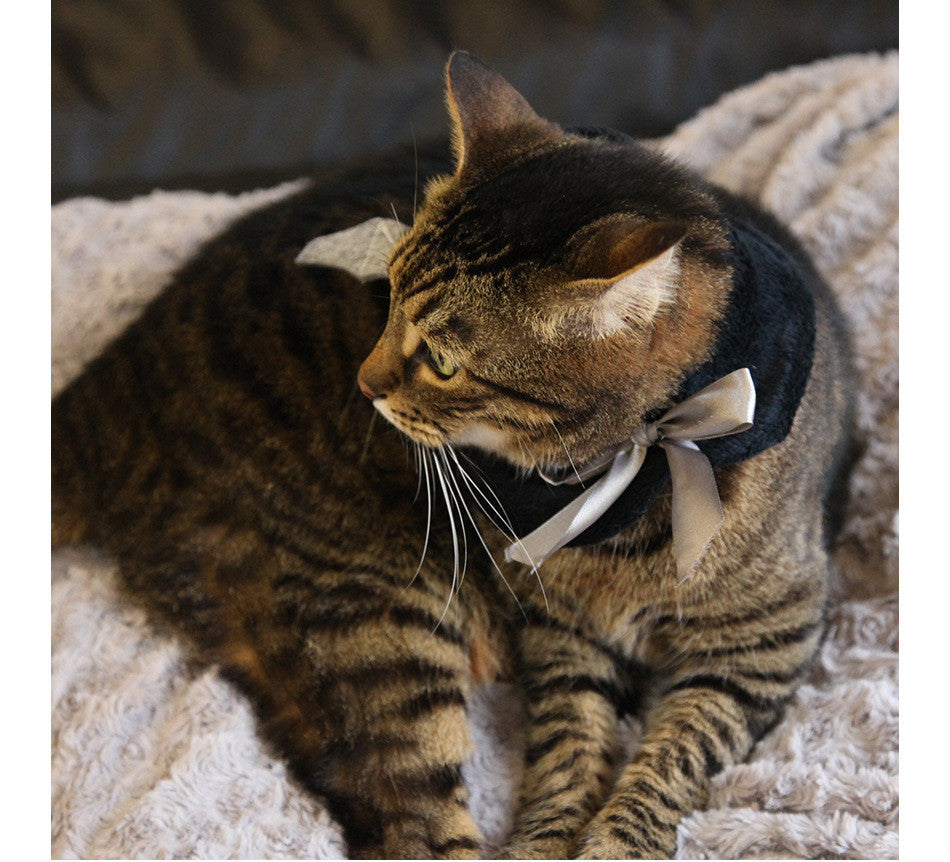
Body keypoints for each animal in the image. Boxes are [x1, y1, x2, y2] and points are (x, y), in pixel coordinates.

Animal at [52, 55, 856, 862]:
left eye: (441, 362)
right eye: (385, 294)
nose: (364, 384)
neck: (631, 472)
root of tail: (109, 384)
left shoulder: (762, 643)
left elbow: (673, 758)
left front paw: (614, 842)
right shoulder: (560, 635)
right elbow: (569, 749)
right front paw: (543, 842)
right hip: (377, 609)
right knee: (408, 818)